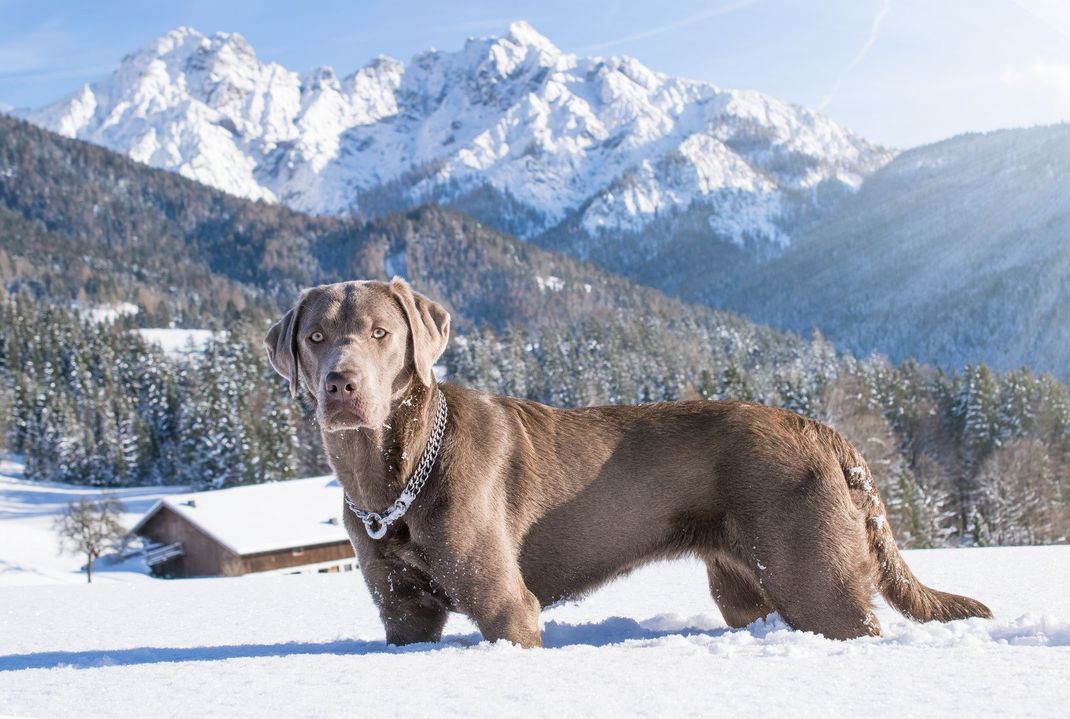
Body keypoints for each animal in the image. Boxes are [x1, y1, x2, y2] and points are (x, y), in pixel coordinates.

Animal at [263, 278, 988, 641]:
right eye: (316, 336)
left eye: (382, 333)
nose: (342, 384)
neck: (390, 480)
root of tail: (821, 428)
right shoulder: (403, 612)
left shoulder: (506, 606)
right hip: (743, 585)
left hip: (818, 580)